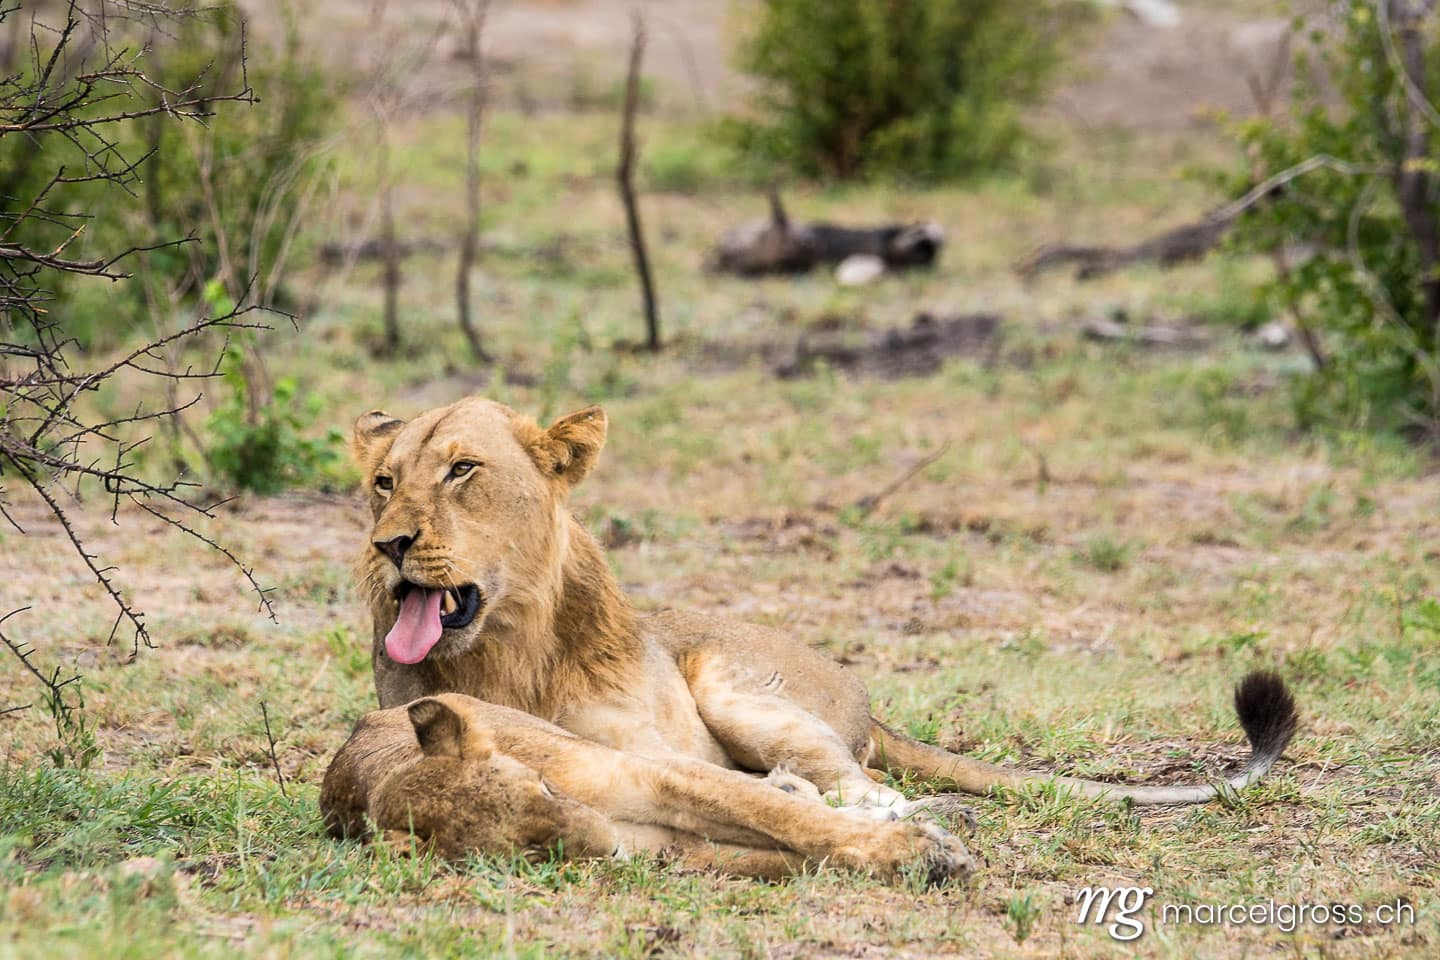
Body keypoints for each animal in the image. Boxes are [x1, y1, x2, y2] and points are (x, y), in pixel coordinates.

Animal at [320, 692, 971, 882]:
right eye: (531, 853)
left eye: (545, 789)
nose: (607, 843)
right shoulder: (670, 848)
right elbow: (790, 855)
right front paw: (919, 854)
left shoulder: (657, 775)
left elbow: (794, 824)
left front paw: (930, 851)